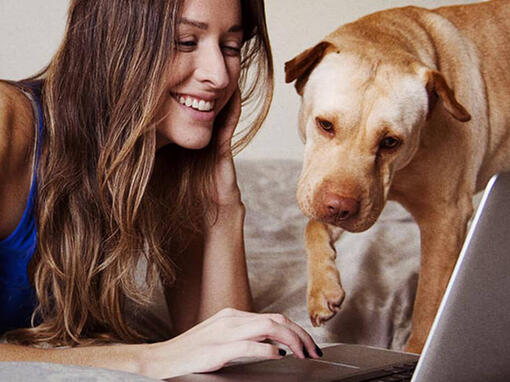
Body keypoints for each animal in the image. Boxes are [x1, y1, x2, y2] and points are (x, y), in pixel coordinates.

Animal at [284, 0, 510, 354]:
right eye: (325, 125)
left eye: (390, 142)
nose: (339, 207)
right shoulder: (341, 194)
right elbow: (313, 224)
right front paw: (323, 288)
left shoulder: (445, 219)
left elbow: (429, 304)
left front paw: (416, 353)